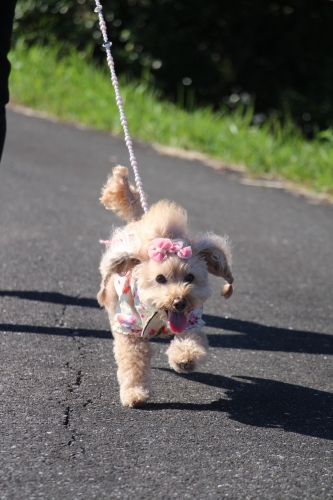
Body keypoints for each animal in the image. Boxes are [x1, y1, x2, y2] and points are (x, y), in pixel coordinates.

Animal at [97, 165, 232, 406]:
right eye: (160, 279)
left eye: (190, 278)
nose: (179, 302)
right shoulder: (130, 330)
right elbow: (132, 363)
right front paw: (134, 394)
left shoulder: (192, 320)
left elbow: (192, 340)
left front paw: (184, 359)